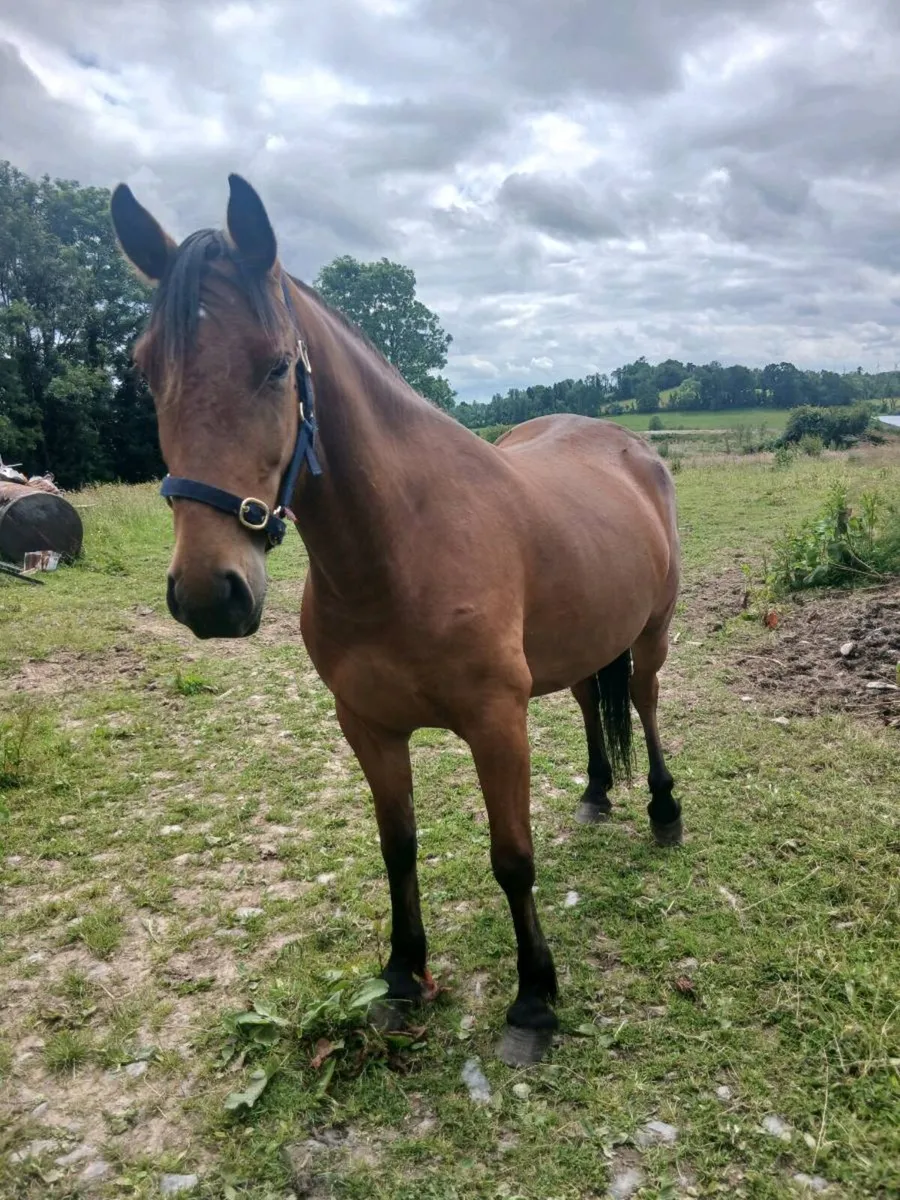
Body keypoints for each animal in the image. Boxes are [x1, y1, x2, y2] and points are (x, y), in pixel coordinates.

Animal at [110, 174, 683, 1066]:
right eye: (146, 373)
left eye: (278, 365)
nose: (210, 593)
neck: (401, 548)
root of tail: (631, 446)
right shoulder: (368, 727)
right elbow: (397, 847)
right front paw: (405, 975)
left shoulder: (495, 723)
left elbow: (512, 859)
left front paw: (534, 1001)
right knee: (595, 700)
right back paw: (595, 793)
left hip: (650, 634)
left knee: (648, 703)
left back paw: (662, 810)